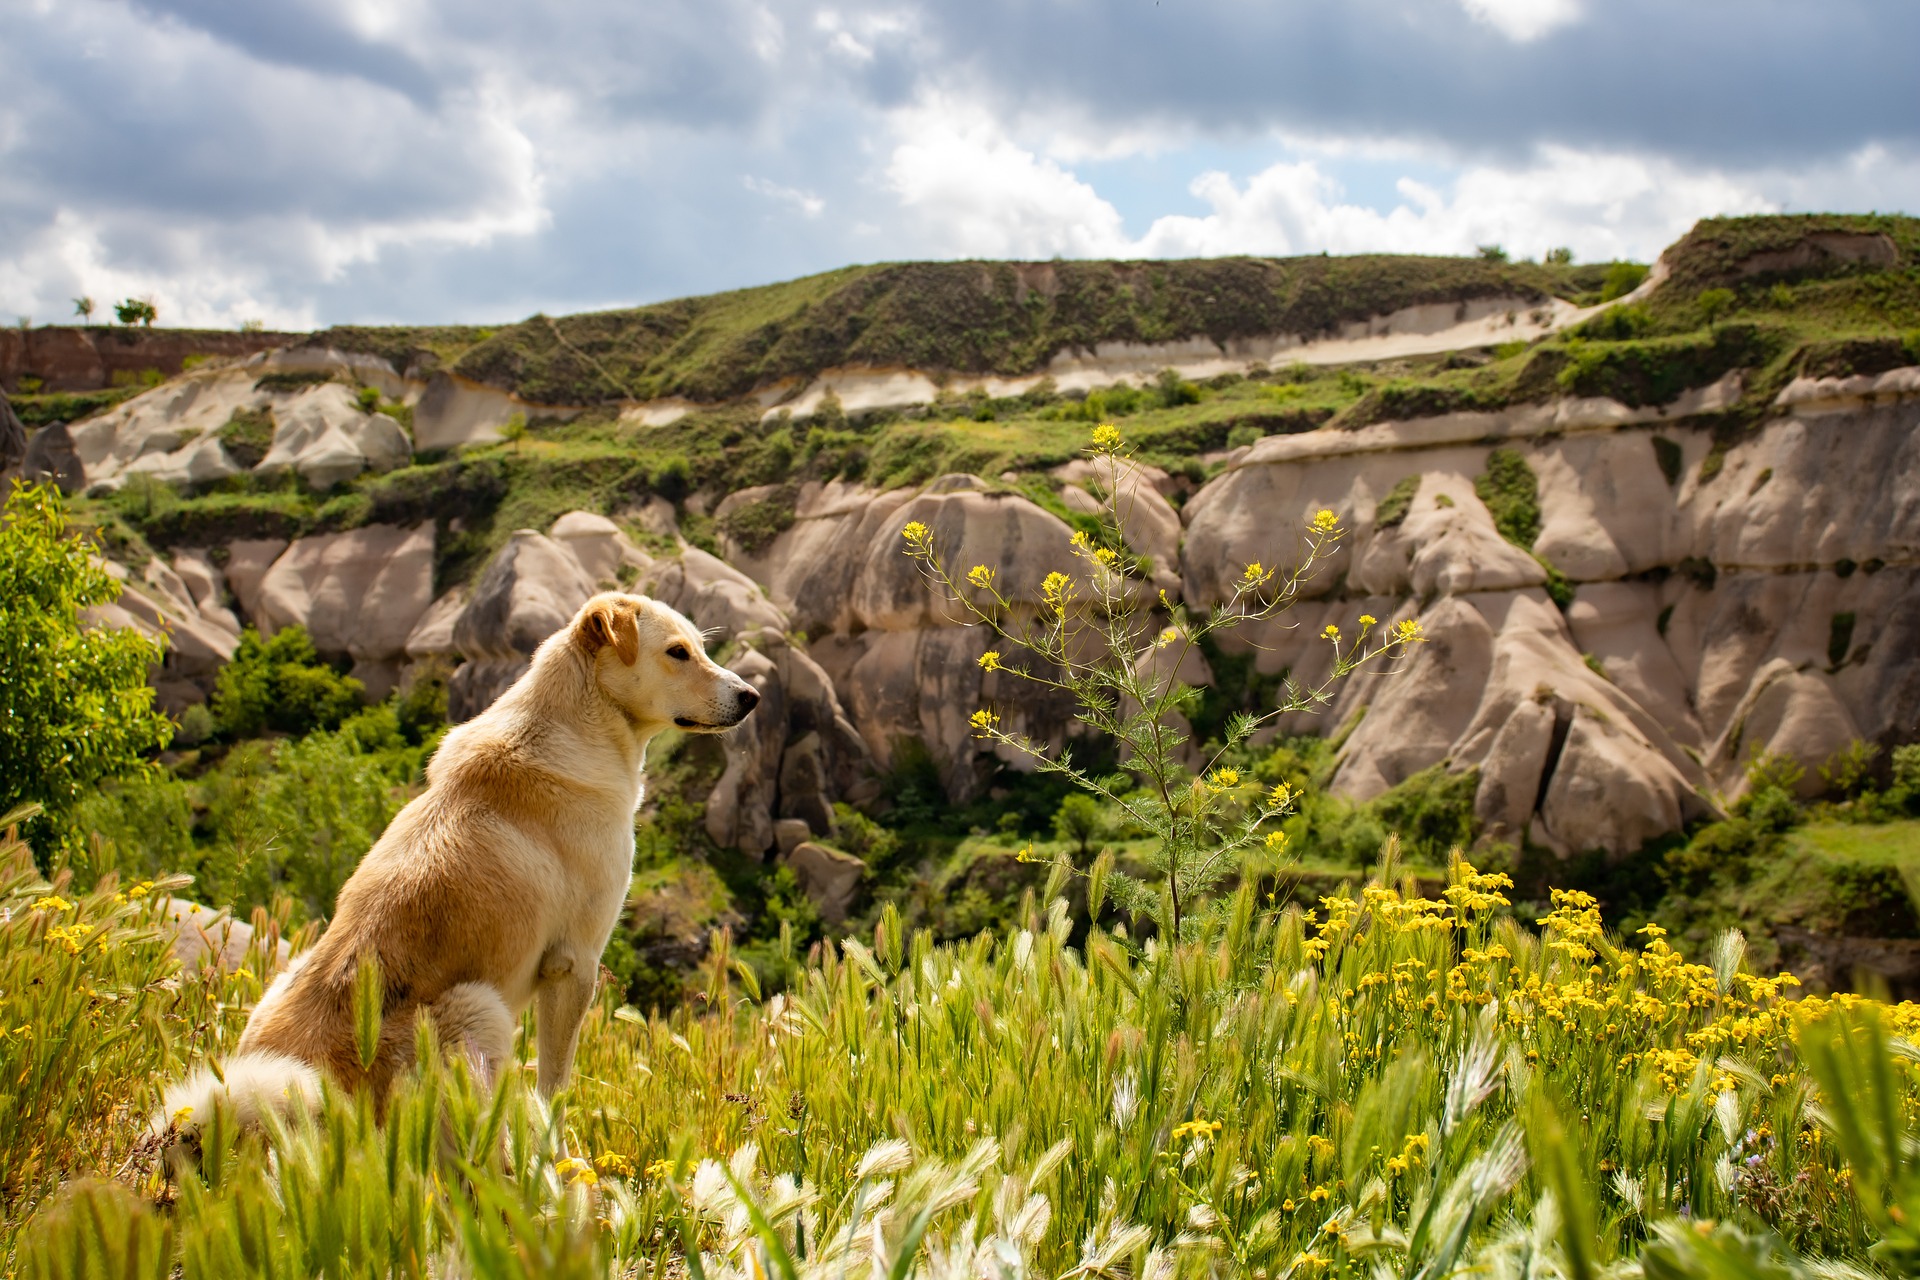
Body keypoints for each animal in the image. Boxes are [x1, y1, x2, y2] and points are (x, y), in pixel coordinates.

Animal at [157, 594, 756, 1136]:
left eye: (702, 647)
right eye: (677, 652)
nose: (752, 696)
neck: (577, 722)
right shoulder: (574, 962)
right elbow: (554, 1086)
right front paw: (559, 1151)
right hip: (476, 1008)